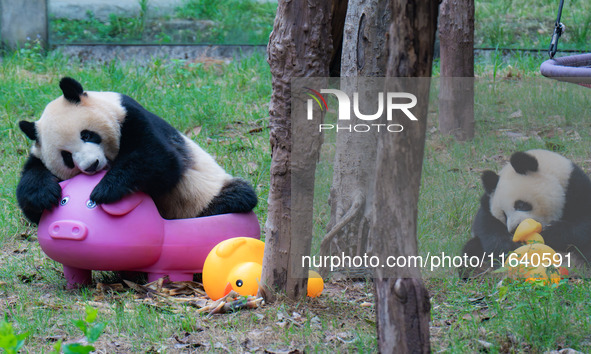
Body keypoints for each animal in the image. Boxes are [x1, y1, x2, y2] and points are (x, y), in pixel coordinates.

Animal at [15, 76, 256, 224]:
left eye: (87, 135)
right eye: (67, 157)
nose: (92, 166)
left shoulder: (130, 116)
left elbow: (159, 159)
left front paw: (104, 190)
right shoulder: (38, 155)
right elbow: (32, 187)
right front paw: (44, 195)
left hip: (206, 192)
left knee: (237, 197)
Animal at [462, 149, 591, 276]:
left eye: (521, 205)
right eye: (504, 215)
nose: (514, 228)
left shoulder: (576, 188)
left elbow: (583, 227)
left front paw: (552, 232)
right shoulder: (487, 203)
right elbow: (485, 225)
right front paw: (508, 246)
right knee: (472, 249)